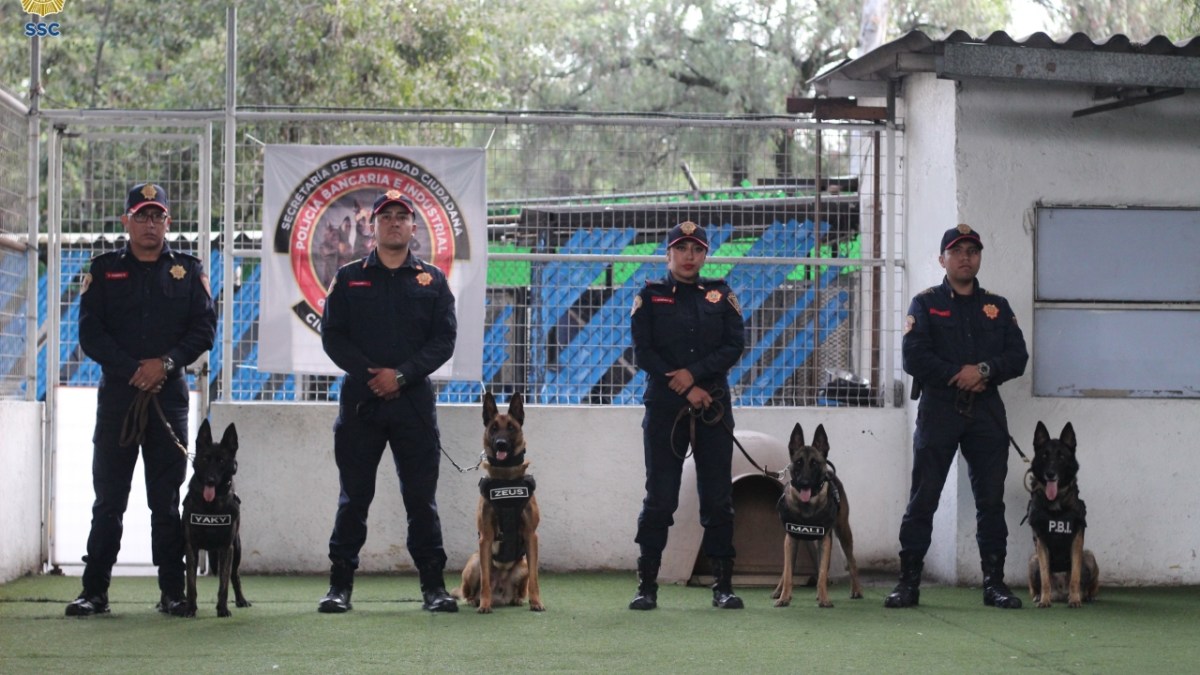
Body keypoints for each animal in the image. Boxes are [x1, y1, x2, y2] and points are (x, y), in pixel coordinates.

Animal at [178, 417, 249, 619]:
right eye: (205, 459)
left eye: (222, 461)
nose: (210, 480)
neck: (210, 506)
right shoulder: (191, 547)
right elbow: (191, 583)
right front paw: (190, 609)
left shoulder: (227, 547)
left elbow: (223, 584)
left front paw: (222, 609)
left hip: (237, 549)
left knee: (235, 575)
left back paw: (241, 600)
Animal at [451, 391, 544, 612]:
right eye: (493, 428)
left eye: (511, 427)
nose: (501, 443)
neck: (506, 477)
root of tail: (500, 595)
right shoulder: (485, 537)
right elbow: (485, 579)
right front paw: (484, 605)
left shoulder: (531, 536)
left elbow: (535, 579)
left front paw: (536, 602)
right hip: (475, 560)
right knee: (468, 590)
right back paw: (475, 600)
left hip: (522, 565)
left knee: (522, 586)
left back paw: (518, 599)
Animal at [768, 422, 864, 607]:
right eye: (798, 462)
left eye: (814, 463)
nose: (804, 483)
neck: (807, 506)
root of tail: (831, 473)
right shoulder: (791, 539)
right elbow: (788, 572)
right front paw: (784, 597)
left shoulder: (824, 539)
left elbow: (822, 572)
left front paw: (824, 598)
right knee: (787, 570)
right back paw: (779, 591)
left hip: (843, 532)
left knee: (852, 561)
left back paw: (855, 590)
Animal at [1027, 420, 1099, 605]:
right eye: (1044, 456)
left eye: (1061, 457)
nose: (1050, 474)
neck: (1056, 504)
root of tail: (1059, 593)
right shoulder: (1041, 543)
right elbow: (1045, 576)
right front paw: (1044, 601)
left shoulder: (1077, 541)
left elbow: (1075, 575)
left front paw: (1074, 600)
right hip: (1033, 560)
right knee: (1034, 586)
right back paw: (1039, 596)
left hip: (1089, 556)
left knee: (1091, 585)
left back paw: (1087, 596)